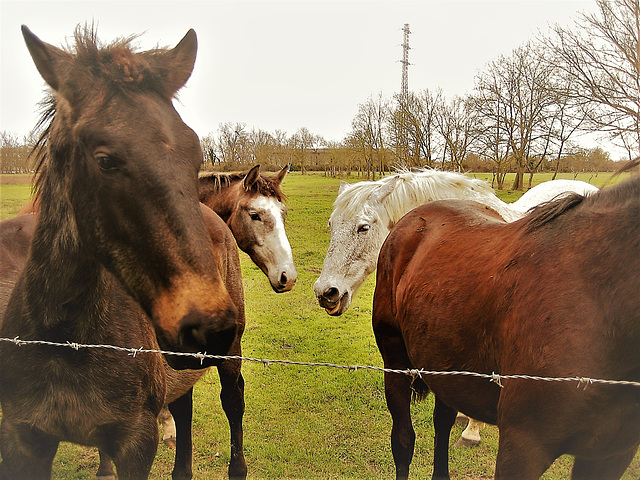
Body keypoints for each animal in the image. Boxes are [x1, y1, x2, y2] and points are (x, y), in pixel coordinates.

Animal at [0, 26, 245, 480]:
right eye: (105, 160)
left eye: (195, 153)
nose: (209, 327)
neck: (65, 342)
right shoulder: (23, 438)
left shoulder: (136, 442)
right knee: (183, 409)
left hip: (229, 354)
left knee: (233, 401)